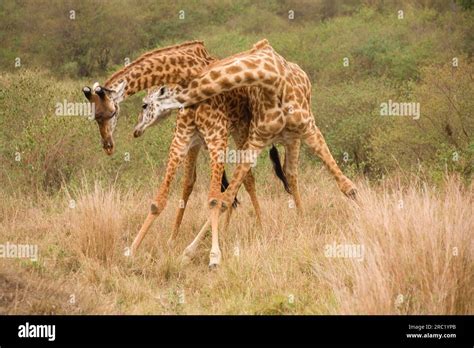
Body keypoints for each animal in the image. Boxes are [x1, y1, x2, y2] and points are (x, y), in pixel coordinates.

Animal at [146, 38, 358, 266]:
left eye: (157, 93)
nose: (143, 109)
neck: (273, 82)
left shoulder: (310, 128)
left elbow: (348, 186)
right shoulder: (256, 138)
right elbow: (225, 198)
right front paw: (191, 251)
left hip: (290, 138)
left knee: (291, 175)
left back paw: (300, 220)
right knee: (271, 177)